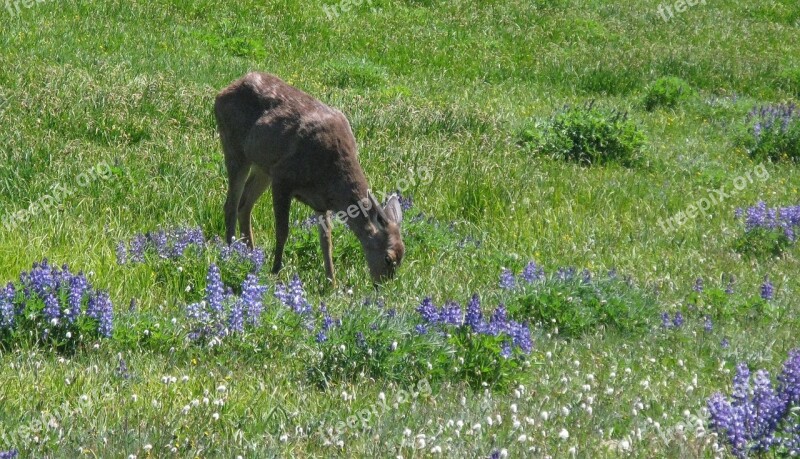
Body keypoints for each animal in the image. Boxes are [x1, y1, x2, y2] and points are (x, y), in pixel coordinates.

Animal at [212, 72, 404, 284]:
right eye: (388, 258)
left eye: (402, 258)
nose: (381, 285)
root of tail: (222, 92)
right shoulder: (283, 177)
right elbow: (282, 231)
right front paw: (276, 271)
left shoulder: (320, 203)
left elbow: (326, 241)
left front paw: (332, 282)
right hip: (234, 147)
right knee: (231, 204)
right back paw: (231, 252)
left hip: (263, 167)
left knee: (244, 205)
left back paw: (251, 254)